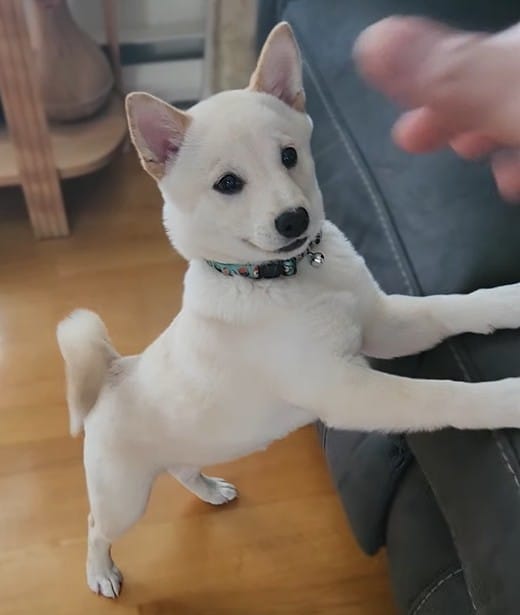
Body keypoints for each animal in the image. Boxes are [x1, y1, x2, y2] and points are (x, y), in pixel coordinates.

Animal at [58, 22, 520, 596]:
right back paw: (100, 571)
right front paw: (507, 397)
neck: (291, 276)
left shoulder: (384, 326)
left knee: (182, 469)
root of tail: (114, 372)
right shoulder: (348, 390)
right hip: (123, 497)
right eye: (228, 184)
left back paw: (209, 489)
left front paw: (508, 299)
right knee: (95, 526)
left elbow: (453, 308)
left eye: (289, 156)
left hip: (189, 448)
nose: (294, 219)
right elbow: (442, 397)